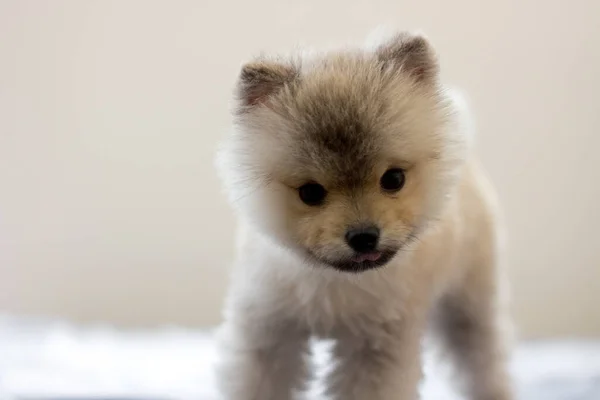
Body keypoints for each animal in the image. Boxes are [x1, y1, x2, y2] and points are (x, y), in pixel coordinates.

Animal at [214, 28, 510, 400]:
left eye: (393, 179)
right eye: (311, 193)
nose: (364, 236)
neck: (334, 280)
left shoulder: (375, 346)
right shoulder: (270, 329)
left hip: (467, 302)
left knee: (483, 360)